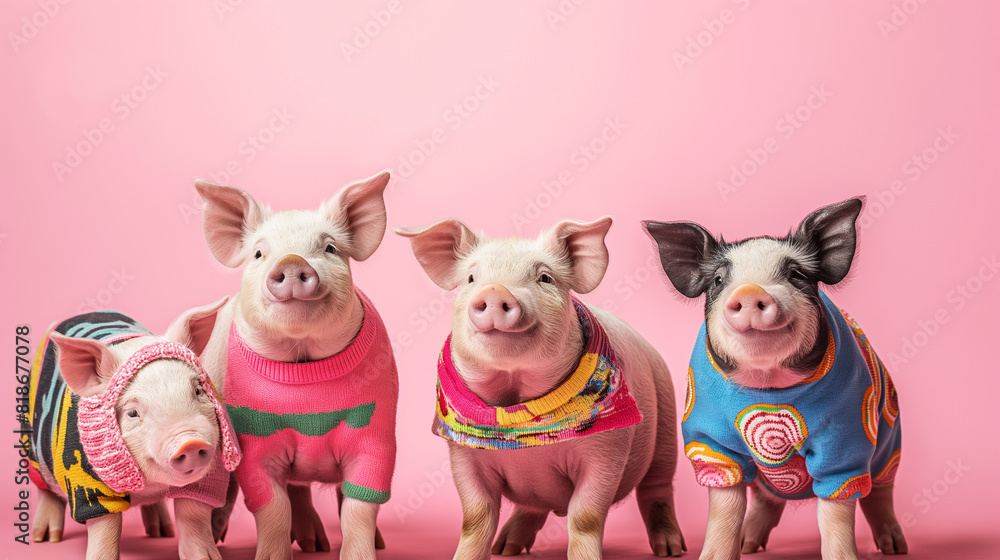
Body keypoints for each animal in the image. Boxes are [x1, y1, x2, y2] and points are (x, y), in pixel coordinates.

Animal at [27, 304, 241, 560]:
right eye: (132, 413)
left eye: (198, 390)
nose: (190, 442)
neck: (150, 486)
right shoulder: (86, 481)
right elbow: (105, 527)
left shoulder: (212, 470)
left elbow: (193, 515)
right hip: (33, 452)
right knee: (46, 492)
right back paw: (45, 538)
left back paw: (162, 533)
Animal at [181, 171, 396, 560]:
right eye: (259, 253)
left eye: (330, 249)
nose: (292, 262)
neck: (302, 359)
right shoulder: (255, 439)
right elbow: (272, 506)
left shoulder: (377, 435)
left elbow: (359, 508)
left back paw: (326, 545)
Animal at [395, 216, 686, 559]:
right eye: (470, 278)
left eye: (545, 278)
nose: (494, 289)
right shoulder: (462, 451)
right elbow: (476, 517)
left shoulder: (609, 449)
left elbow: (585, 517)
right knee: (531, 506)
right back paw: (506, 548)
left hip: (666, 423)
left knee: (658, 488)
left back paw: (670, 549)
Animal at [644, 197, 906, 560]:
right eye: (718, 280)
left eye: (796, 275)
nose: (750, 291)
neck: (768, 386)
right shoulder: (712, 445)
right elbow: (725, 510)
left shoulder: (846, 439)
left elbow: (836, 515)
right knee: (766, 499)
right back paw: (749, 544)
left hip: (889, 442)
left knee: (880, 493)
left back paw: (895, 548)